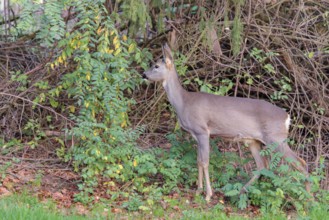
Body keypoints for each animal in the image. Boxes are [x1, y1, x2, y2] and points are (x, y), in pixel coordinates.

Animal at [142, 43, 308, 201]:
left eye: (156, 66)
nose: (143, 74)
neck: (184, 103)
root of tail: (287, 117)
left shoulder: (203, 131)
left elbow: (205, 162)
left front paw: (208, 195)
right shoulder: (196, 135)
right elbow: (198, 160)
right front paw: (198, 190)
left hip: (276, 138)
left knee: (301, 163)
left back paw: (308, 199)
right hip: (254, 141)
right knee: (262, 165)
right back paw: (242, 191)